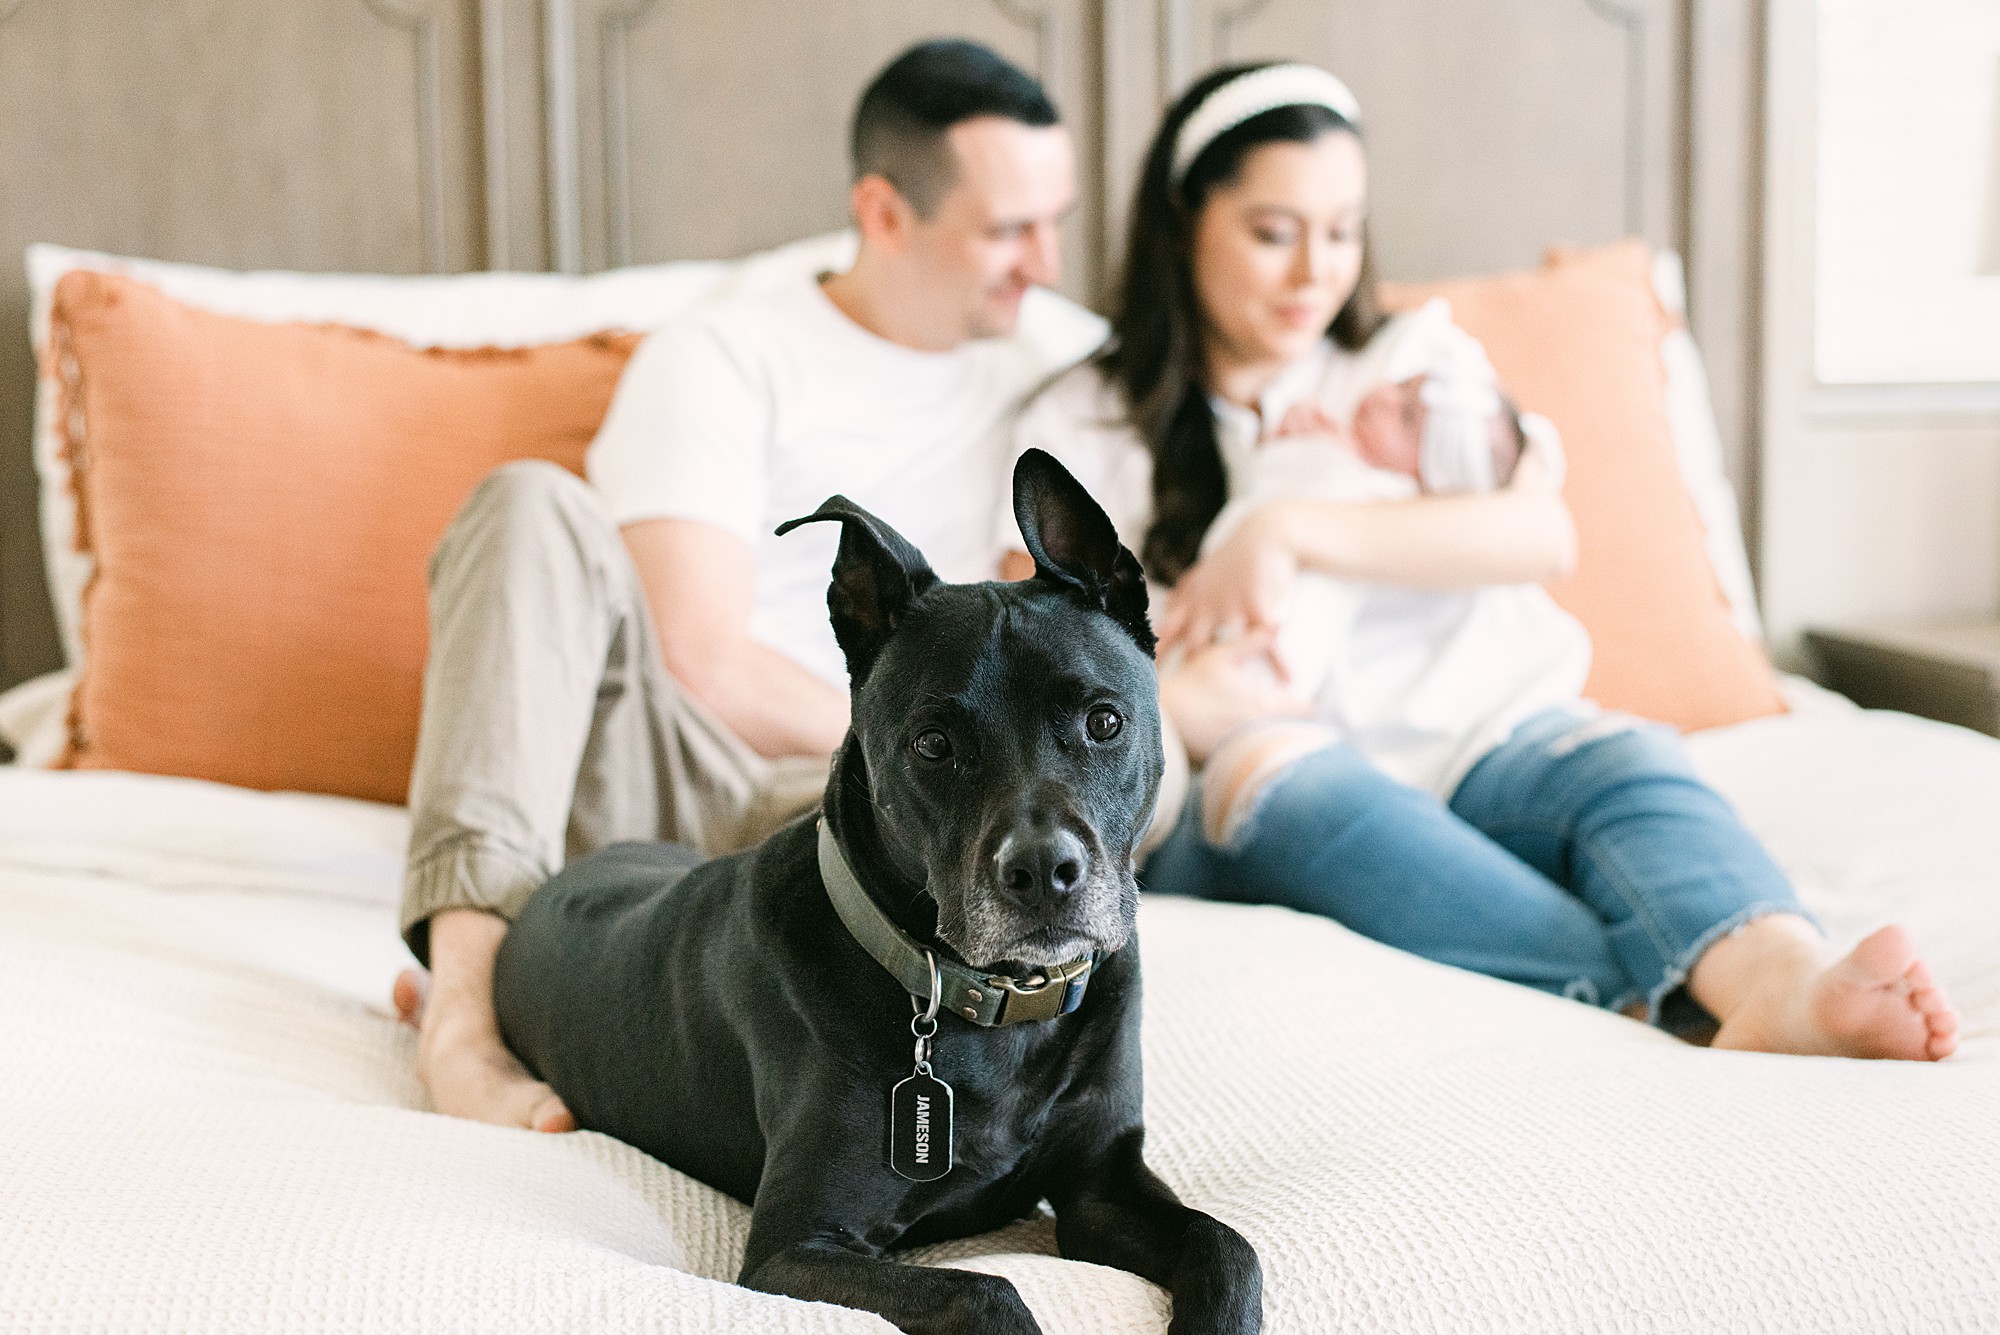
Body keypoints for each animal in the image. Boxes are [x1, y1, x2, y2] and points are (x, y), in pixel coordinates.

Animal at [492, 451, 1256, 1335]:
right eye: (932, 744)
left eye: (1104, 721)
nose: (1043, 873)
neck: (994, 1012)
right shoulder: (795, 1246)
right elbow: (984, 1288)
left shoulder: (1102, 1185)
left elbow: (1228, 1244)